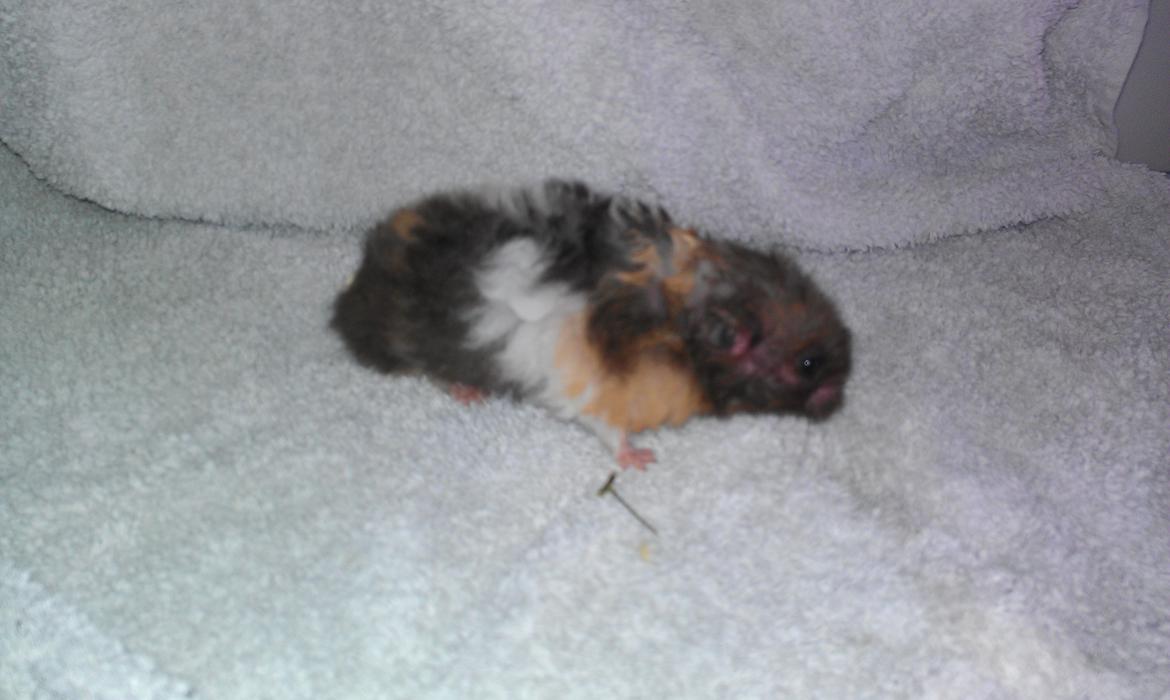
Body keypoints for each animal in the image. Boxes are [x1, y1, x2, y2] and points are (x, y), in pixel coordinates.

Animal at [331, 180, 851, 470]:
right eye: (808, 365)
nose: (840, 401)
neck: (682, 328)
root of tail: (350, 296)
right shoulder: (600, 393)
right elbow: (610, 432)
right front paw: (641, 461)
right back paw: (467, 393)